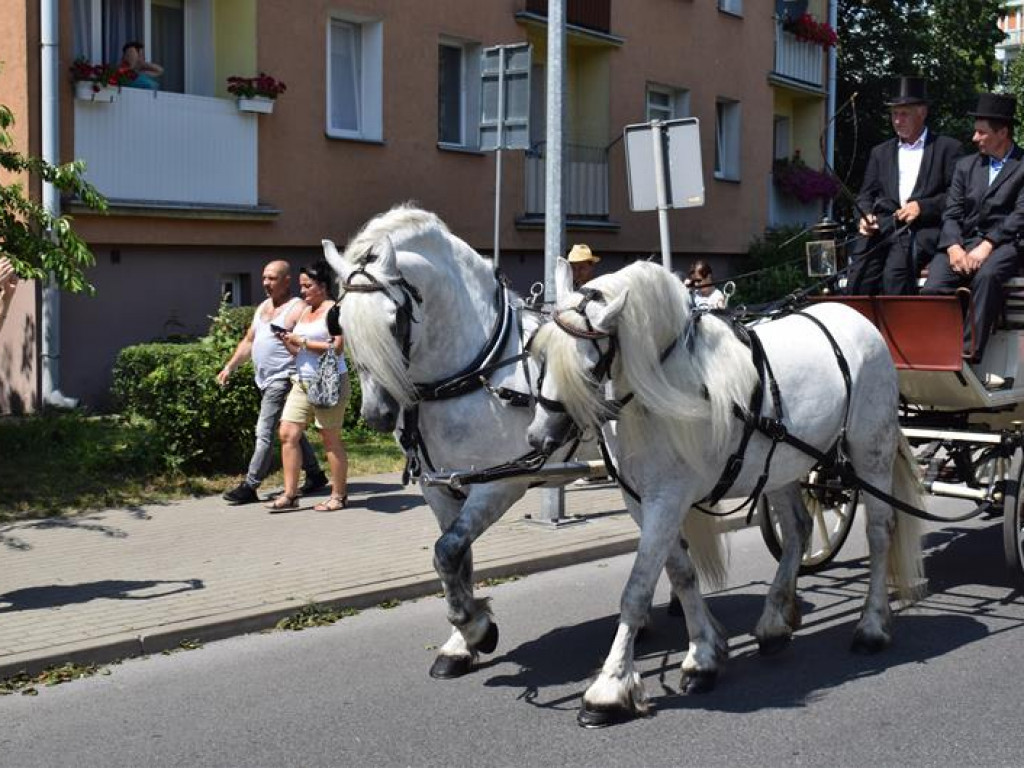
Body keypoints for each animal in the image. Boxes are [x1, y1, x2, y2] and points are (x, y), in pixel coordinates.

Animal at [528, 259, 929, 729]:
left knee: (880, 531)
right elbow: (681, 575)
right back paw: (774, 623)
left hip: (871, 453)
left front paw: (608, 690)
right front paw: (703, 655)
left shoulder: (668, 498)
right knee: (798, 530)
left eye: (588, 368)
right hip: (783, 466)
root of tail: (855, 318)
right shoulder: (644, 502)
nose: (538, 438)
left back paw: (871, 627)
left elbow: (638, 588)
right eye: (538, 356)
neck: (663, 386)